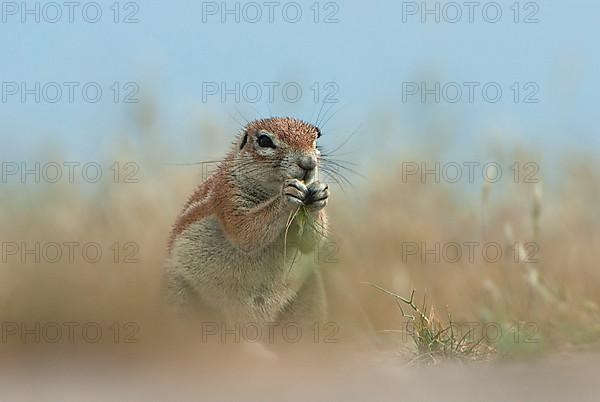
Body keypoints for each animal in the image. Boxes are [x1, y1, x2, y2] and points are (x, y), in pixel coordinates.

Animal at [166, 116, 330, 324]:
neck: (270, 190)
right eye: (264, 141)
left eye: (317, 137)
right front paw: (287, 193)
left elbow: (310, 242)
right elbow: (244, 231)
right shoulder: (227, 195)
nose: (309, 163)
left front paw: (319, 194)